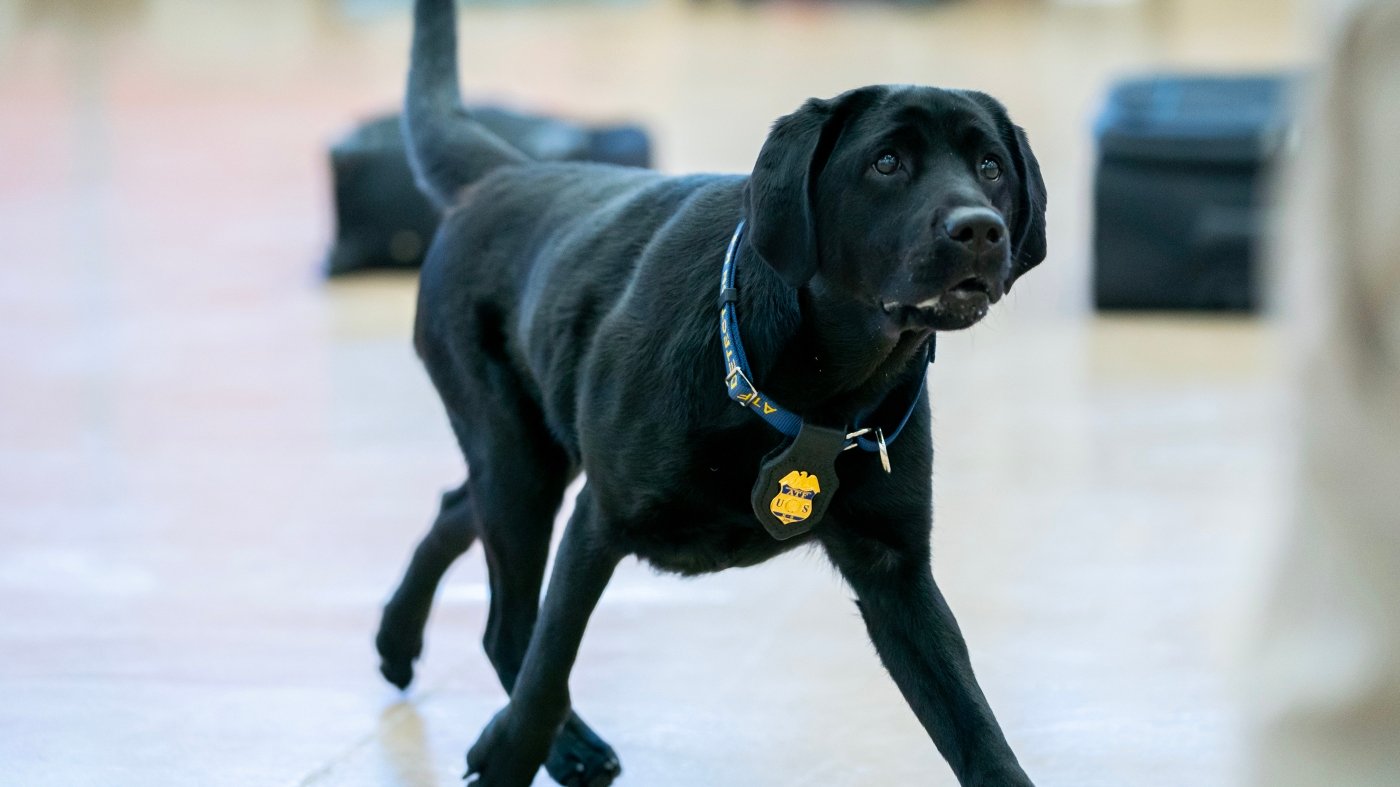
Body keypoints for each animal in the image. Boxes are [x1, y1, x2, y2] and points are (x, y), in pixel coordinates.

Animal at [378, 1, 1047, 784]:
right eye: (886, 163)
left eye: (990, 166)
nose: (980, 229)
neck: (816, 389)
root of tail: (506, 173)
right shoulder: (598, 521)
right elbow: (546, 673)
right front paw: (513, 753)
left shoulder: (897, 571)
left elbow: (976, 728)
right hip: (518, 462)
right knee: (507, 626)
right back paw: (565, 744)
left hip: (527, 459)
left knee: (456, 512)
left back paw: (396, 641)